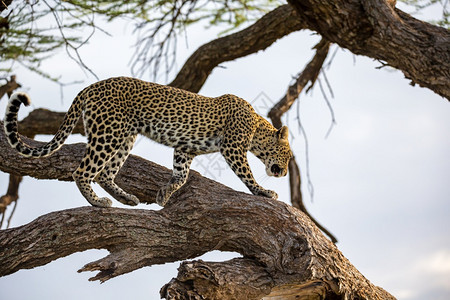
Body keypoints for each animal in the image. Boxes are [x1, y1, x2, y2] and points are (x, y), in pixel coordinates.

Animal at [3, 76, 292, 207]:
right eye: (288, 157)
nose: (285, 172)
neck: (257, 126)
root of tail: (90, 87)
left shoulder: (185, 149)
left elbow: (181, 175)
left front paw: (166, 192)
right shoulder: (233, 147)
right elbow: (247, 175)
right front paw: (264, 192)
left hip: (125, 137)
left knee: (105, 173)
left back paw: (126, 198)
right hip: (108, 134)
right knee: (83, 171)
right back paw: (97, 202)